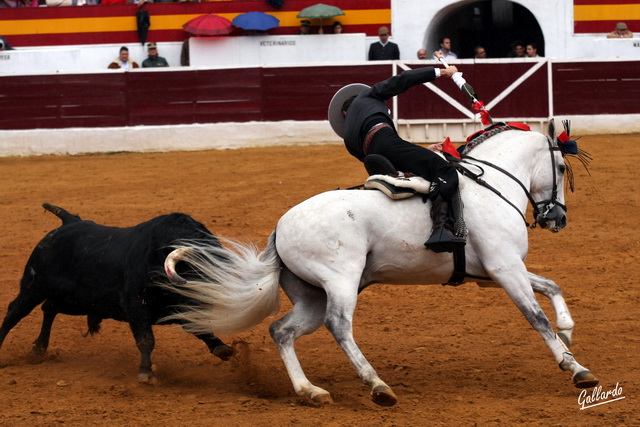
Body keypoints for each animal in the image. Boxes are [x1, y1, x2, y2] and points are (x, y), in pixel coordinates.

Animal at [0, 203, 234, 382]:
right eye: (201, 269)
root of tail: (69, 222)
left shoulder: (183, 308)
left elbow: (201, 329)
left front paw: (222, 348)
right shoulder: (135, 307)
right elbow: (146, 339)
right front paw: (146, 373)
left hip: (77, 301)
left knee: (49, 307)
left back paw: (39, 348)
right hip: (34, 286)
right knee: (15, 311)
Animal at [162, 121, 596, 408]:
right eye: (561, 169)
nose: (558, 218)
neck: (490, 186)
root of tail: (279, 227)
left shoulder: (494, 273)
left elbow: (552, 286)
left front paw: (568, 334)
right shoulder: (505, 268)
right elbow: (536, 316)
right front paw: (575, 368)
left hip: (313, 295)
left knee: (282, 331)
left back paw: (310, 392)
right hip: (341, 281)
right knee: (339, 325)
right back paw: (377, 386)